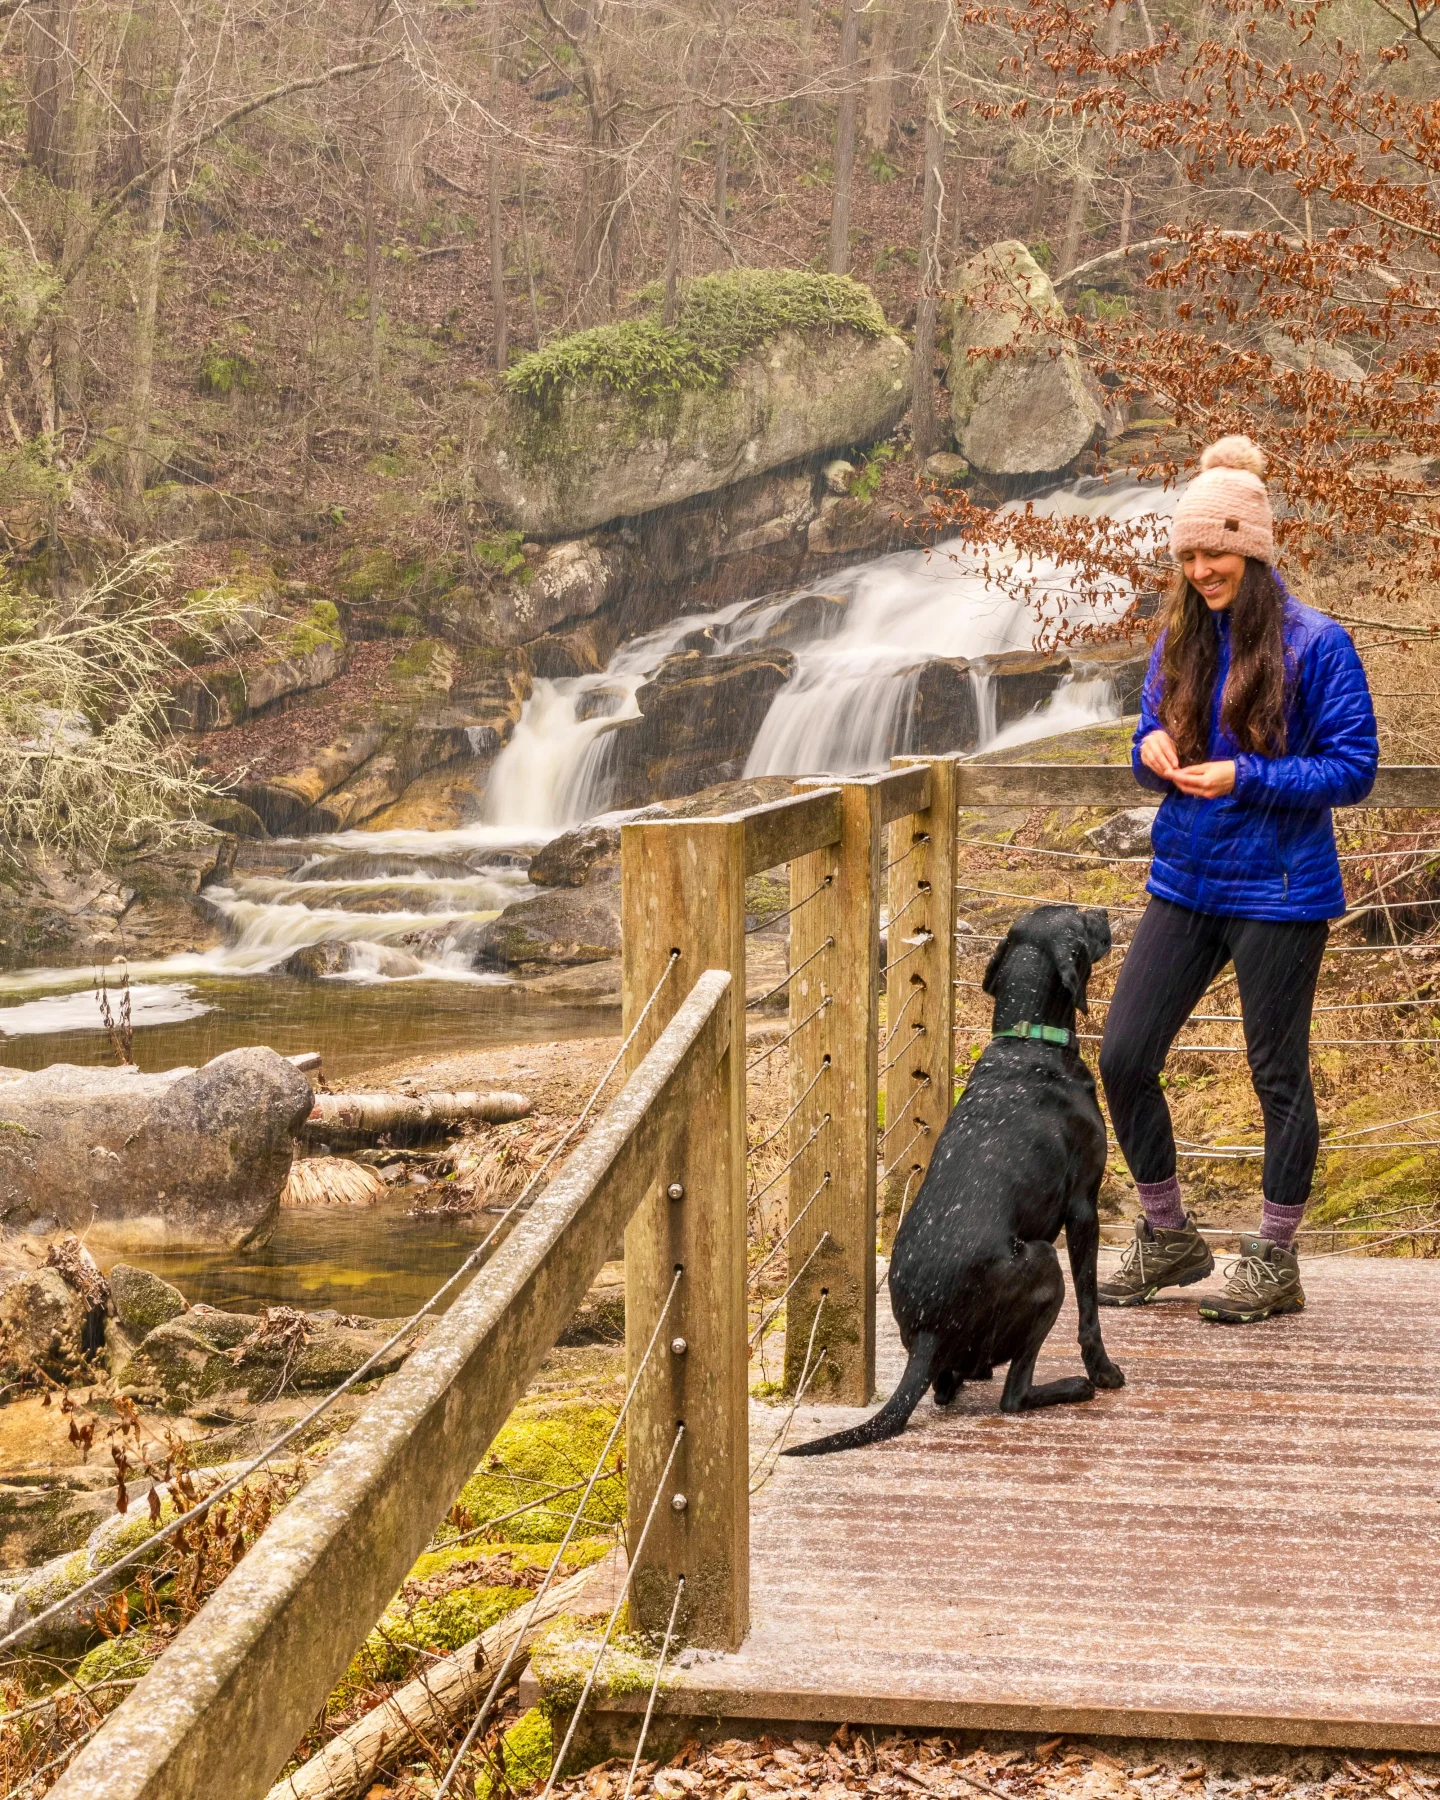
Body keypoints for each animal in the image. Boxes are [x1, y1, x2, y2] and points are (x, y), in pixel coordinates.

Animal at [788, 907, 1123, 1454]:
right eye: (1080, 920)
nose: (1103, 913)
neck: (1028, 1040)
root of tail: (926, 1334)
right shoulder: (1083, 1208)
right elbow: (1090, 1308)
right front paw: (1102, 1370)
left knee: (950, 1384)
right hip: (1043, 1262)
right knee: (1014, 1395)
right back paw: (1073, 1386)